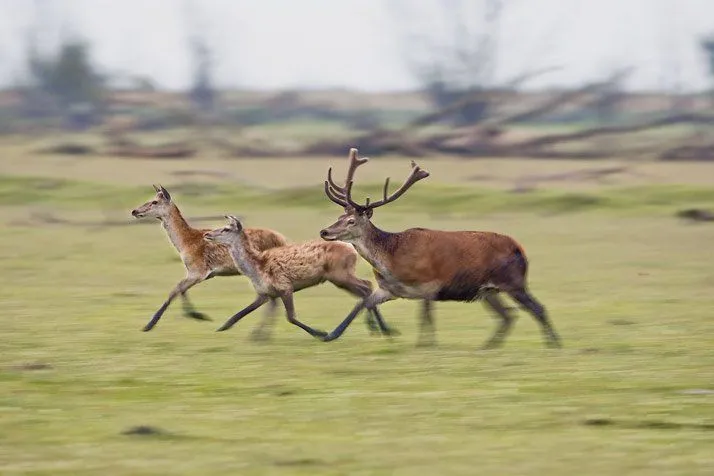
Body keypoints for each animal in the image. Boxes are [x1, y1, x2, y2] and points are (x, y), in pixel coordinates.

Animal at [202, 216, 394, 338]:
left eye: (226, 228)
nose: (207, 234)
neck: (255, 268)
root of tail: (352, 249)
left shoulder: (284, 286)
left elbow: (291, 317)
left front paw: (320, 332)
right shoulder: (266, 293)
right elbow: (245, 311)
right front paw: (227, 328)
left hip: (339, 274)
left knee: (366, 286)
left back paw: (376, 328)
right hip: (341, 276)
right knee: (366, 289)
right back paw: (380, 328)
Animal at [318, 149, 560, 350]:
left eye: (351, 221)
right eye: (339, 216)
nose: (325, 231)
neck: (391, 259)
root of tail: (520, 249)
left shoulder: (429, 283)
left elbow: (425, 315)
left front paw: (426, 343)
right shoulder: (389, 289)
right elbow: (362, 303)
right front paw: (330, 334)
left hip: (513, 281)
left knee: (537, 308)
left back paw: (554, 343)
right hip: (488, 290)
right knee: (507, 315)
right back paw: (489, 345)